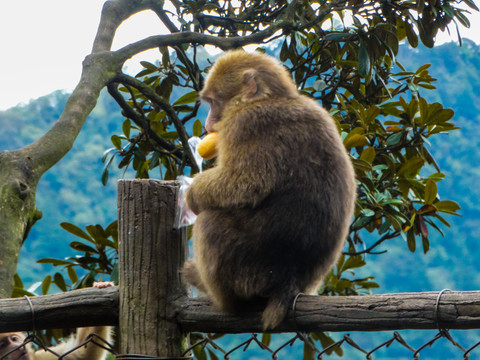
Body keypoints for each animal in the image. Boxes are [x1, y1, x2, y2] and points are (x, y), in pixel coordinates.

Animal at [183, 49, 356, 330]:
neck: (272, 97)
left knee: (210, 222)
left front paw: (192, 193)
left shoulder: (244, 123)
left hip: (250, 272)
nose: (208, 126)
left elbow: (243, 184)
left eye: (213, 101)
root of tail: (289, 283)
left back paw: (217, 295)